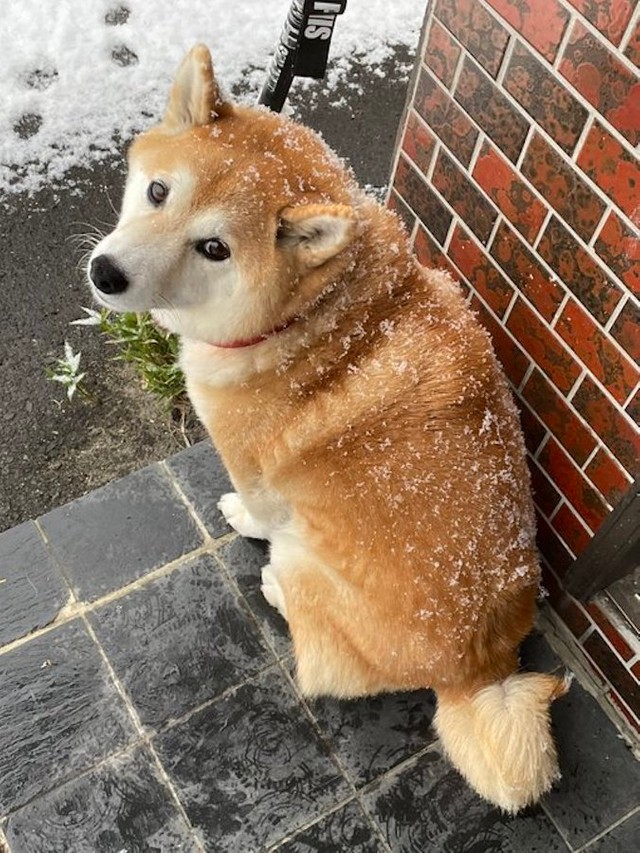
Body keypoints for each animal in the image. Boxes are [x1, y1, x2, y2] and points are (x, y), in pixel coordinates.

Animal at [87, 43, 568, 808]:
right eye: (158, 192)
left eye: (215, 248)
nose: (106, 274)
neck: (314, 319)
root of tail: (478, 669)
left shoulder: (250, 461)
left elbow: (256, 504)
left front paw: (240, 515)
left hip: (305, 563)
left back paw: (274, 588)